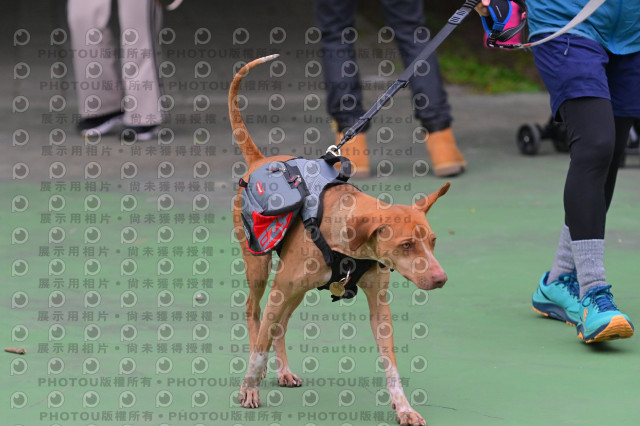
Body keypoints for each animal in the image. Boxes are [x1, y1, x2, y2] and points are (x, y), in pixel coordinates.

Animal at [230, 55, 450, 426]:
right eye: (406, 245)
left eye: (432, 242)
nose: (440, 279)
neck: (347, 244)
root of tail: (260, 160)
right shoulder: (279, 289)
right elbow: (259, 346)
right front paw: (249, 388)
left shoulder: (380, 308)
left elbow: (391, 366)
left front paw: (404, 407)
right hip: (261, 270)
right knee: (255, 316)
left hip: (296, 289)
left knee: (279, 326)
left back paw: (283, 370)